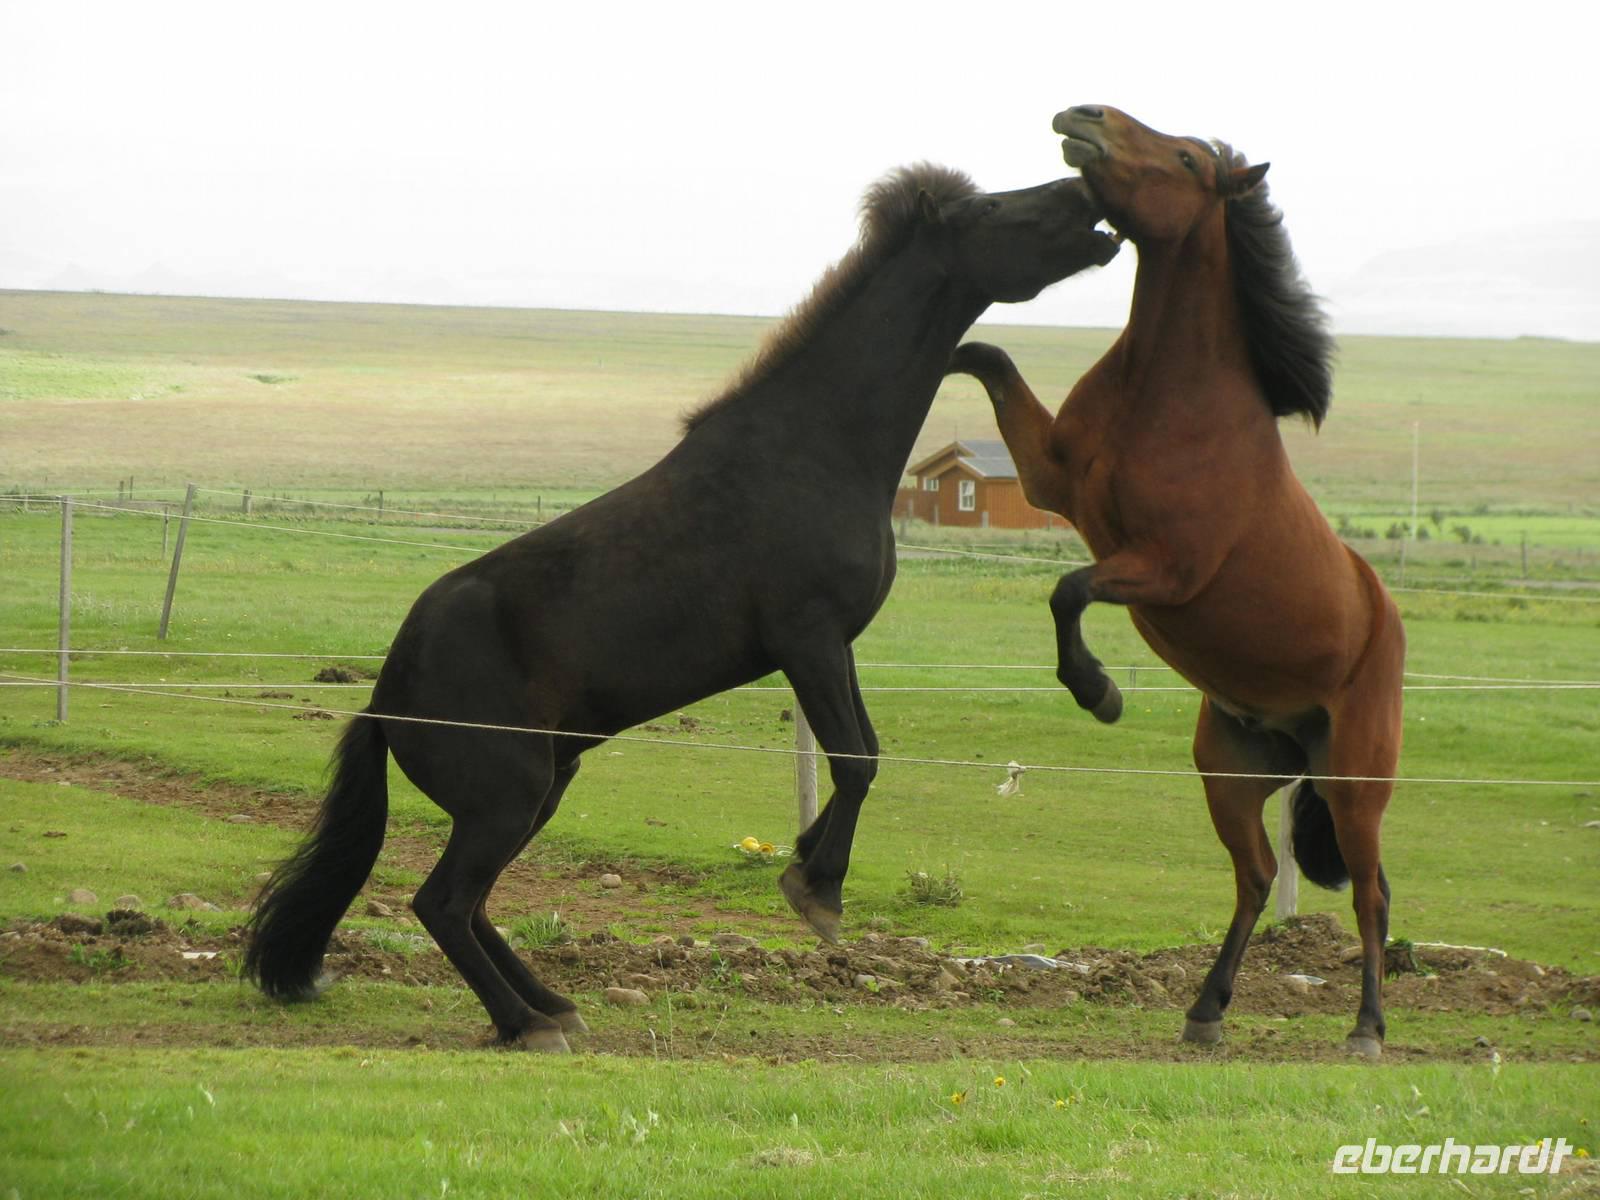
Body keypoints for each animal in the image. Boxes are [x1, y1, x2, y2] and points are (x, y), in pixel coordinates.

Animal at [246, 164, 1120, 1051]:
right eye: (992, 208)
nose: (1087, 194)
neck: (814, 448)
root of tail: (385, 698)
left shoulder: (834, 645)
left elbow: (866, 752)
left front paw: (803, 859)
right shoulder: (808, 638)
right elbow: (855, 760)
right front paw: (818, 893)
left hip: (541, 789)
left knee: (474, 904)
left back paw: (551, 1005)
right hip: (506, 798)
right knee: (445, 903)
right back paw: (527, 1024)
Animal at [948, 106, 1405, 1058]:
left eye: (1188, 159)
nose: (1082, 116)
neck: (1168, 394)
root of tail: (1385, 619)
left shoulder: (1165, 568)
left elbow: (1068, 591)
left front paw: (1099, 692)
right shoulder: (1052, 479)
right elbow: (987, 354)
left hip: (1354, 785)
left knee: (1373, 896)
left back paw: (1366, 1029)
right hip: (1231, 771)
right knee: (1257, 877)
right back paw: (1205, 1011)